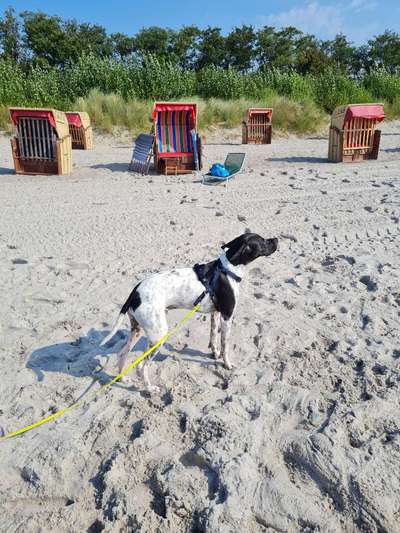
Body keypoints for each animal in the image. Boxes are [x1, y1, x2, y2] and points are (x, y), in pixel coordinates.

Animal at [101, 232, 278, 390]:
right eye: (262, 240)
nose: (276, 239)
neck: (229, 269)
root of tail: (135, 291)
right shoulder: (227, 316)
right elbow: (225, 345)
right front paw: (227, 364)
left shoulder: (215, 313)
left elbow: (213, 337)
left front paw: (215, 353)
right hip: (158, 336)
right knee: (140, 367)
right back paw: (150, 389)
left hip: (137, 330)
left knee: (122, 354)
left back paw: (122, 379)